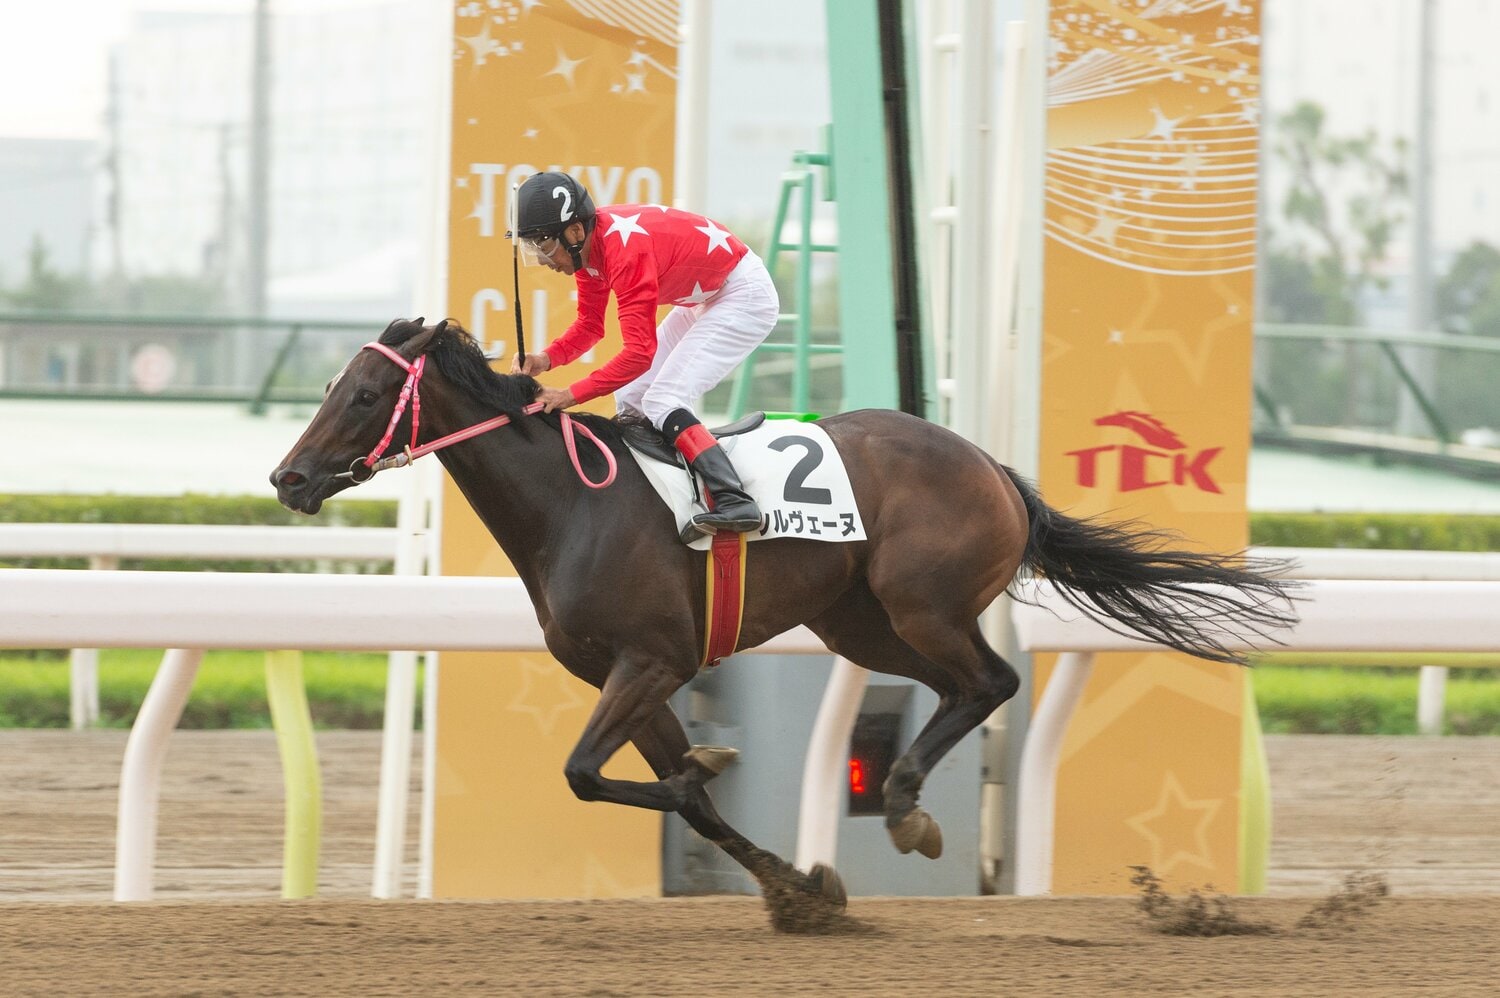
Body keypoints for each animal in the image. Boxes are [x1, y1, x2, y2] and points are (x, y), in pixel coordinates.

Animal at [271, 318, 1297, 931]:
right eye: (330, 386)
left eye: (365, 395)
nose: (288, 477)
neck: (574, 504)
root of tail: (995, 469)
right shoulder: (626, 677)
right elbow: (679, 794)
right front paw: (798, 887)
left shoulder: (652, 660)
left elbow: (583, 774)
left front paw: (740, 804)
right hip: (860, 623)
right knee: (961, 689)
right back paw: (905, 800)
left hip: (921, 602)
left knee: (993, 681)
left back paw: (906, 805)